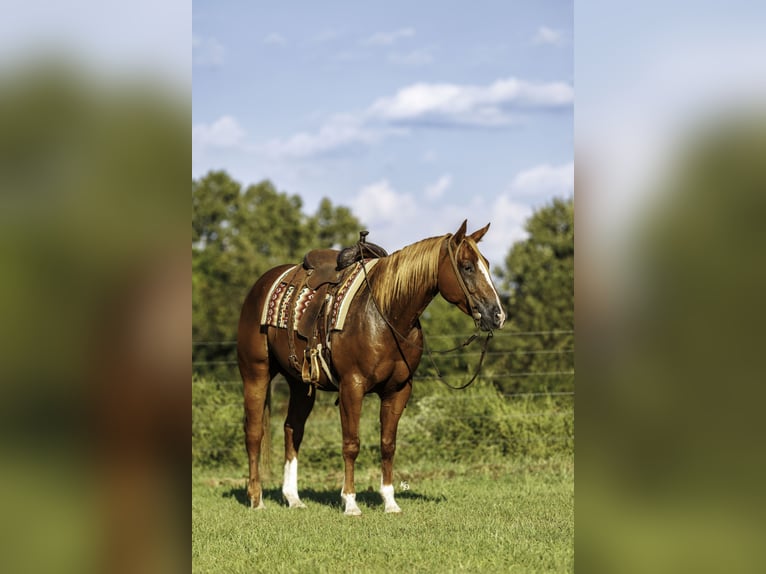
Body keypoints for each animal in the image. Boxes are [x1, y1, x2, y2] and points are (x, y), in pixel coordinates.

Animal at [237, 220, 506, 515]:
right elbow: (351, 444)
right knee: (254, 432)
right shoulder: (352, 387)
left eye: (487, 264)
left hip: (299, 382)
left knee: (292, 430)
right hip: (256, 373)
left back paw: (293, 498)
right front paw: (350, 503)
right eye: (467, 266)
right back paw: (257, 499)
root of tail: (262, 284)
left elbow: (387, 444)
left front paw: (390, 502)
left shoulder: (398, 390)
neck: (386, 315)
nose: (497, 315)